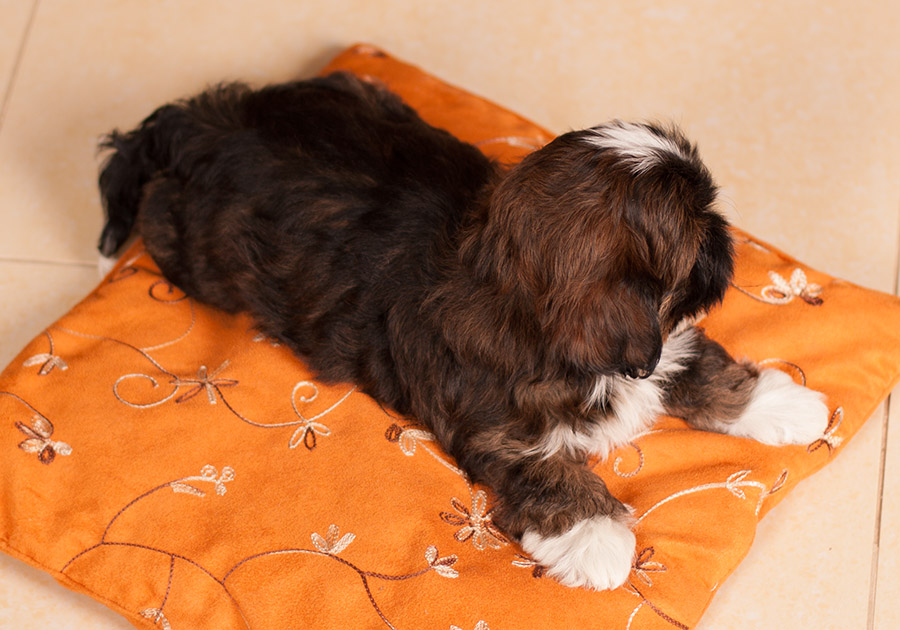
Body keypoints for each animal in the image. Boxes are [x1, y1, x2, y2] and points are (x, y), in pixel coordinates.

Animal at [97, 71, 829, 590]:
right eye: (697, 234)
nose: (726, 236)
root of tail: (199, 122)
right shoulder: (502, 433)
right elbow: (551, 473)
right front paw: (597, 538)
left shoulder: (659, 346)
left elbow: (699, 364)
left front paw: (782, 404)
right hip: (192, 252)